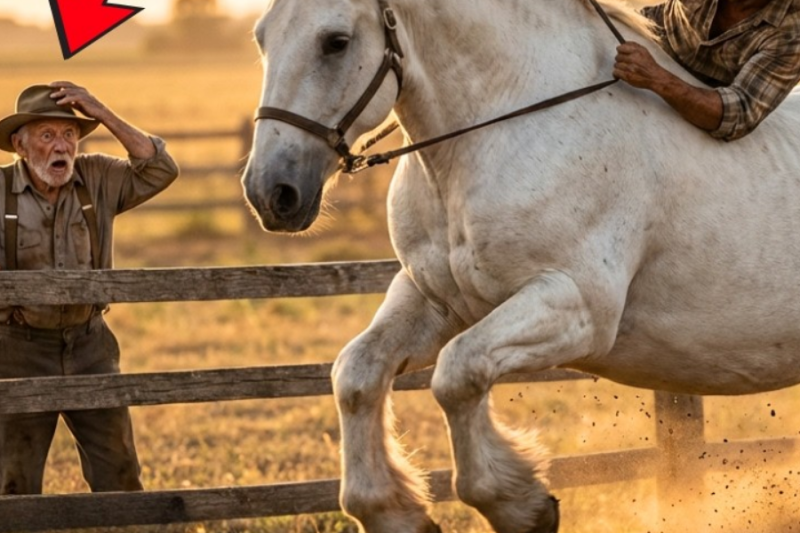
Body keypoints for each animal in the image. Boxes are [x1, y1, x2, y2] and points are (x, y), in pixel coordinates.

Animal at [241, 0, 800, 531]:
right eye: (261, 37)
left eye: (336, 41)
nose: (271, 193)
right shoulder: (436, 299)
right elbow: (355, 375)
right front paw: (393, 511)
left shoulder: (577, 310)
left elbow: (458, 374)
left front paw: (521, 505)